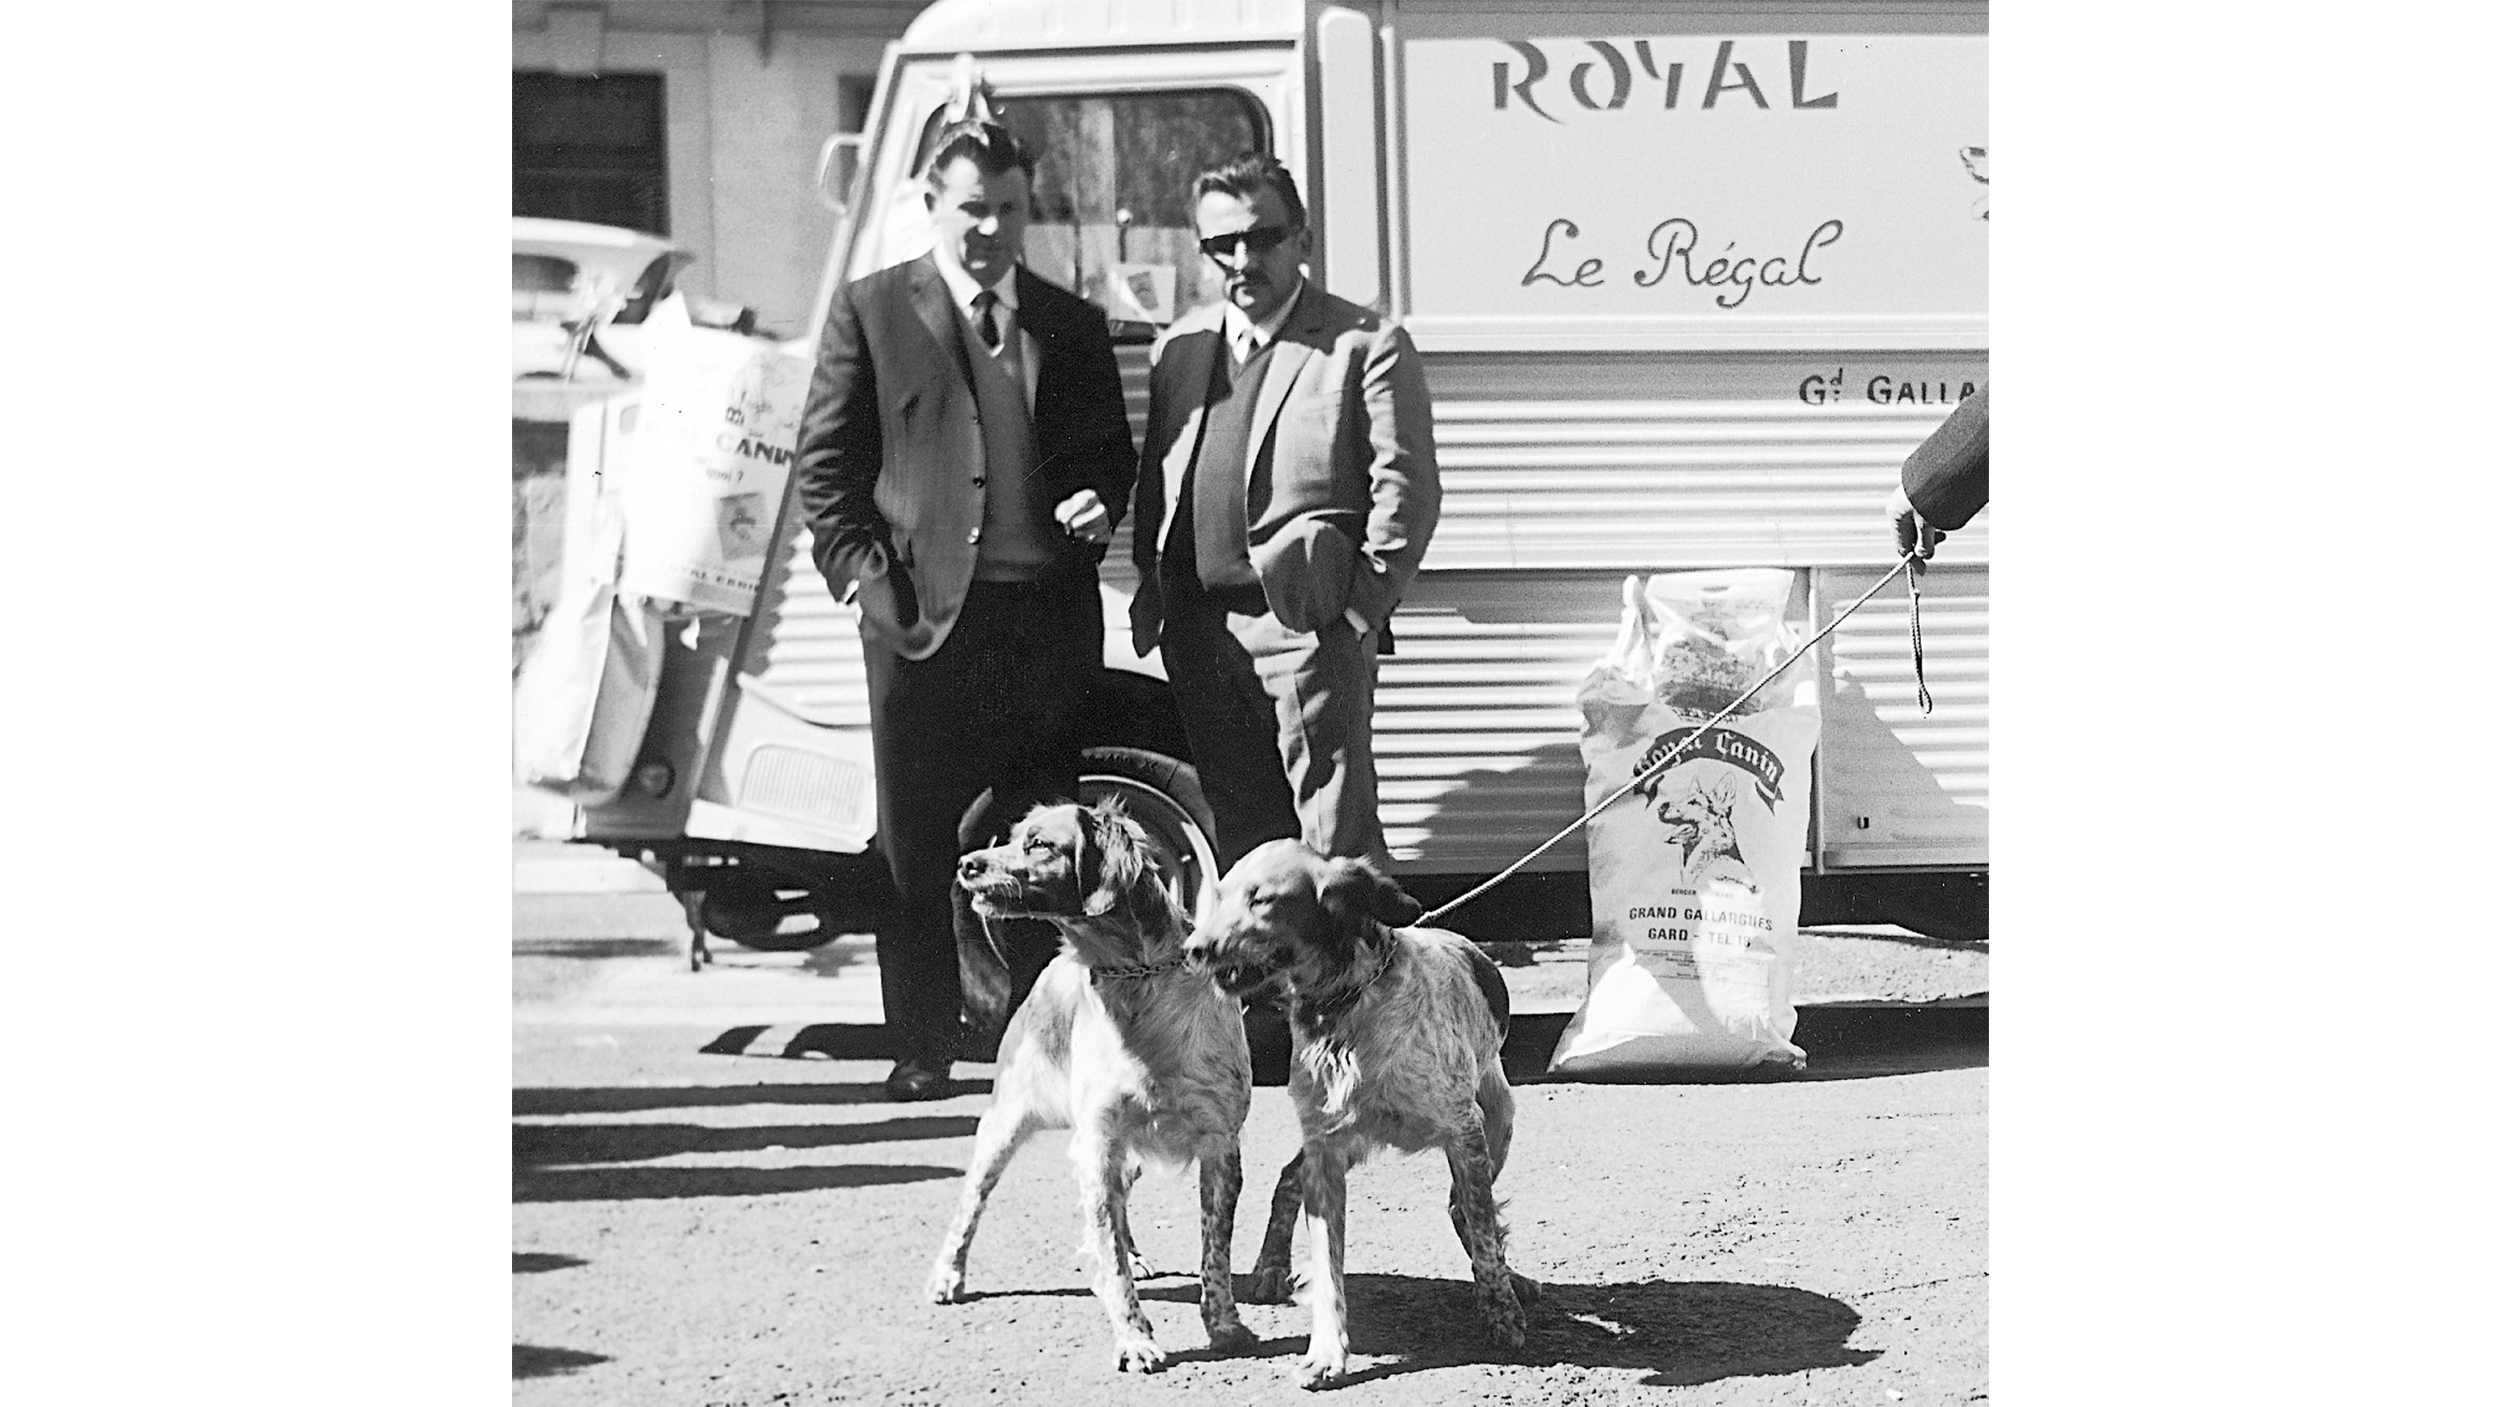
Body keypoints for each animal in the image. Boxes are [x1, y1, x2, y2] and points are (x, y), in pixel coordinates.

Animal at [930, 804, 1260, 1379]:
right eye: (1010, 838)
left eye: (1039, 843)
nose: (966, 863)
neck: (1137, 979)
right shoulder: (1100, 1145)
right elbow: (1112, 1260)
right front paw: (1134, 1340)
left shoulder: (1220, 1146)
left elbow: (1213, 1253)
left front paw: (1224, 1325)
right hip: (1003, 1126)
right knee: (969, 1205)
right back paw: (948, 1275)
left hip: (1123, 1156)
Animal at [1185, 844, 1530, 1389]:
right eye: (1218, 897)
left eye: (1261, 900)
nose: (1193, 949)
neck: (1341, 1009)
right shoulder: (1326, 1148)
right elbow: (1329, 1268)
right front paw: (1326, 1351)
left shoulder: (1464, 1132)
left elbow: (1483, 1229)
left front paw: (1502, 1309)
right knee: (1290, 1177)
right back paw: (1268, 1267)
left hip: (1498, 1120)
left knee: (1466, 1212)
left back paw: (1511, 1281)